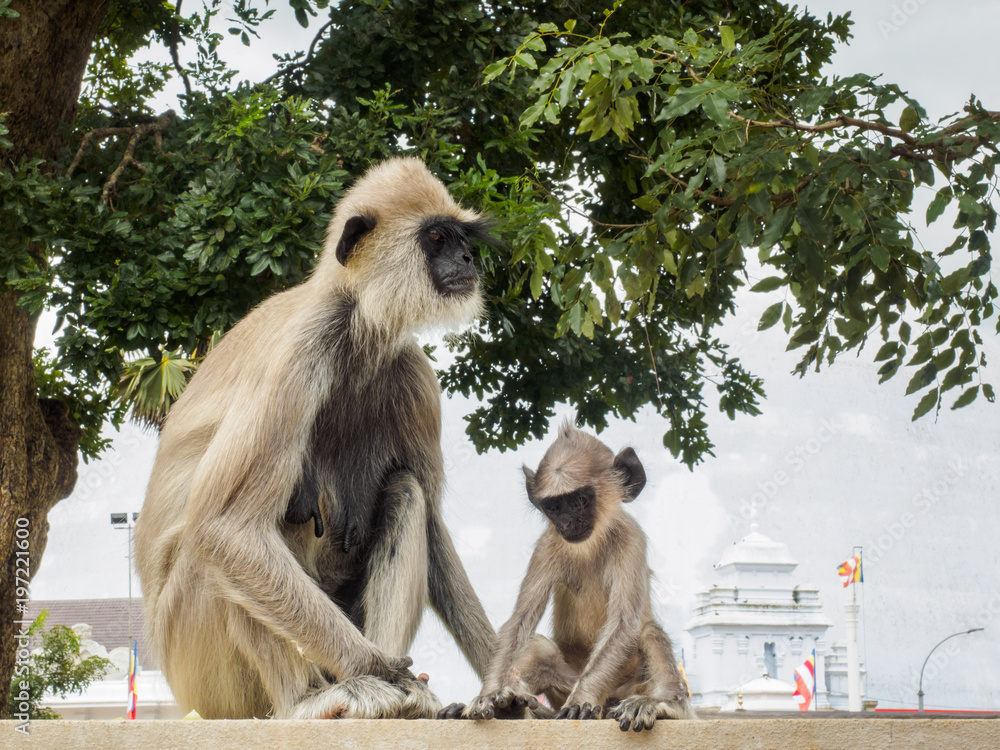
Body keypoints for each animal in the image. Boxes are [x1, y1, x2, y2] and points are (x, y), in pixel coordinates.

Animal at [134, 157, 499, 721]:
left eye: (462, 238)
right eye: (437, 237)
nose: (466, 258)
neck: (358, 325)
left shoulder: (413, 373)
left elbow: (435, 533)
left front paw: (512, 686)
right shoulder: (300, 350)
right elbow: (226, 529)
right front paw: (379, 669)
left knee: (406, 491)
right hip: (199, 669)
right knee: (217, 541)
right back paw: (311, 699)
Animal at [456, 423, 696, 731]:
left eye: (580, 501)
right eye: (554, 507)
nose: (567, 523)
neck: (589, 545)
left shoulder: (631, 537)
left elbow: (624, 623)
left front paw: (582, 700)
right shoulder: (547, 544)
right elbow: (520, 621)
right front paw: (490, 694)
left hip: (629, 686)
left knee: (649, 631)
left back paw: (666, 705)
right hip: (565, 684)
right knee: (540, 647)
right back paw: (511, 706)